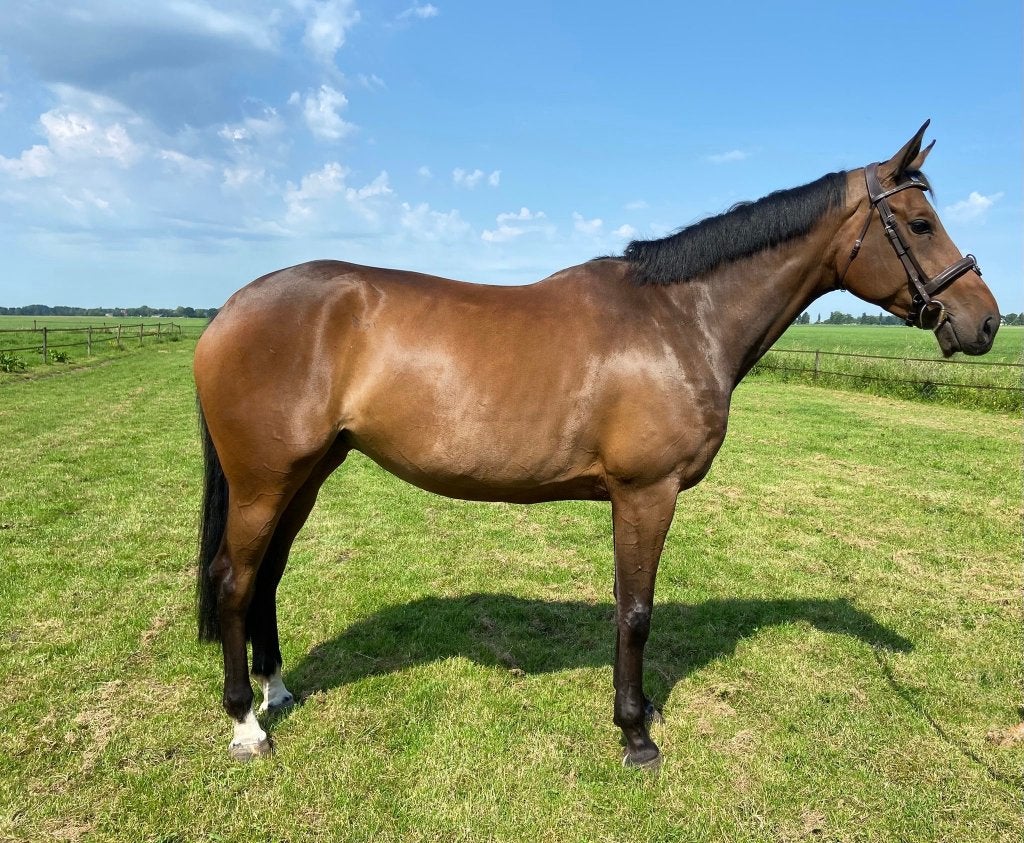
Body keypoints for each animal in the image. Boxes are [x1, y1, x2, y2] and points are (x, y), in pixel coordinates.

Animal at [194, 122, 999, 767]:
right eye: (920, 223)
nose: (985, 321)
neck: (681, 318)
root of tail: (228, 309)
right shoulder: (647, 493)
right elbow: (636, 612)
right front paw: (636, 735)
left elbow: (624, 606)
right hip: (266, 480)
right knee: (234, 579)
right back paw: (246, 725)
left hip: (306, 474)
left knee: (267, 576)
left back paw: (277, 690)